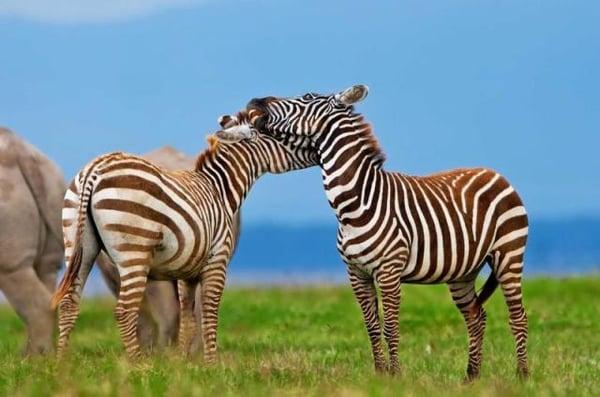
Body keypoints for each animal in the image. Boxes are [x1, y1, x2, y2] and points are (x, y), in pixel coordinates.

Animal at [52, 110, 318, 360]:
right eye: (281, 134)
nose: (316, 149)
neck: (219, 189)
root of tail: (94, 170)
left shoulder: (187, 272)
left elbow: (188, 319)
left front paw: (184, 364)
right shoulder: (217, 261)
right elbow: (209, 312)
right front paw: (211, 365)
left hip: (78, 243)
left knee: (68, 302)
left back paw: (63, 365)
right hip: (133, 251)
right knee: (125, 310)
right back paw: (139, 366)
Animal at [247, 85, 528, 378]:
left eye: (308, 97)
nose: (255, 101)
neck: (355, 203)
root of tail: (495, 174)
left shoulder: (389, 271)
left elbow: (390, 326)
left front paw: (395, 376)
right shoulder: (356, 273)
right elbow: (371, 327)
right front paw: (380, 374)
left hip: (509, 254)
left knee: (517, 316)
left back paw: (522, 375)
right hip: (462, 271)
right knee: (476, 316)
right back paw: (471, 376)